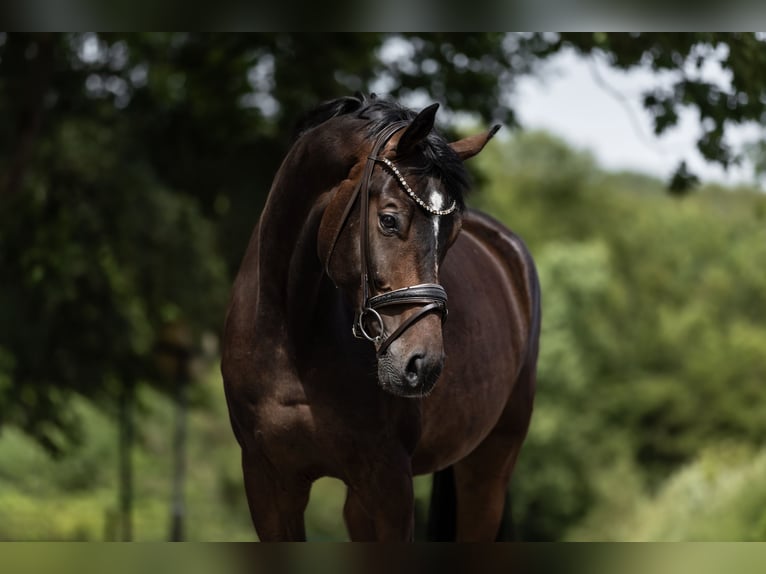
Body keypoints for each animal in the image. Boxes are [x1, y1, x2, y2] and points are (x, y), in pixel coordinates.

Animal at [221, 94, 541, 541]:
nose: (423, 364)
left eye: (453, 234)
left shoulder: (388, 482)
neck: (290, 332)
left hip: (489, 467)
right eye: (388, 219)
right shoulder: (268, 482)